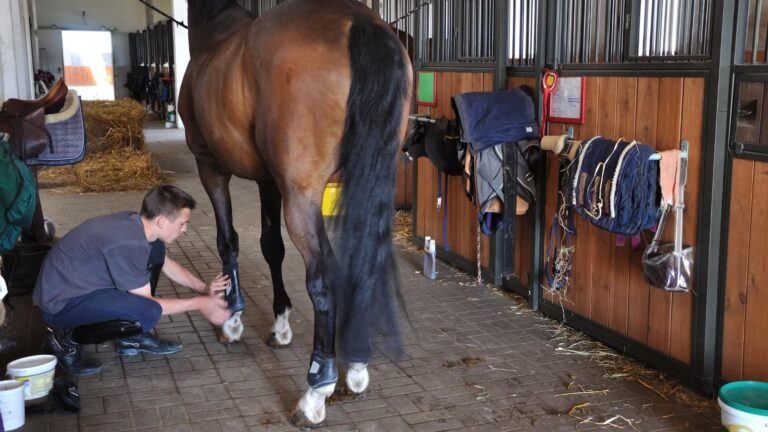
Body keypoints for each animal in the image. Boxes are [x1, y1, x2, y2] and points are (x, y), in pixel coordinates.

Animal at [179, 0, 412, 427]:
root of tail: (360, 22)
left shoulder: (211, 167)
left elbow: (228, 241)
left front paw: (232, 319)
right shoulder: (267, 179)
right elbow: (271, 246)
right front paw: (280, 323)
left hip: (301, 196)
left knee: (324, 277)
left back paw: (316, 390)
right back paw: (356, 366)